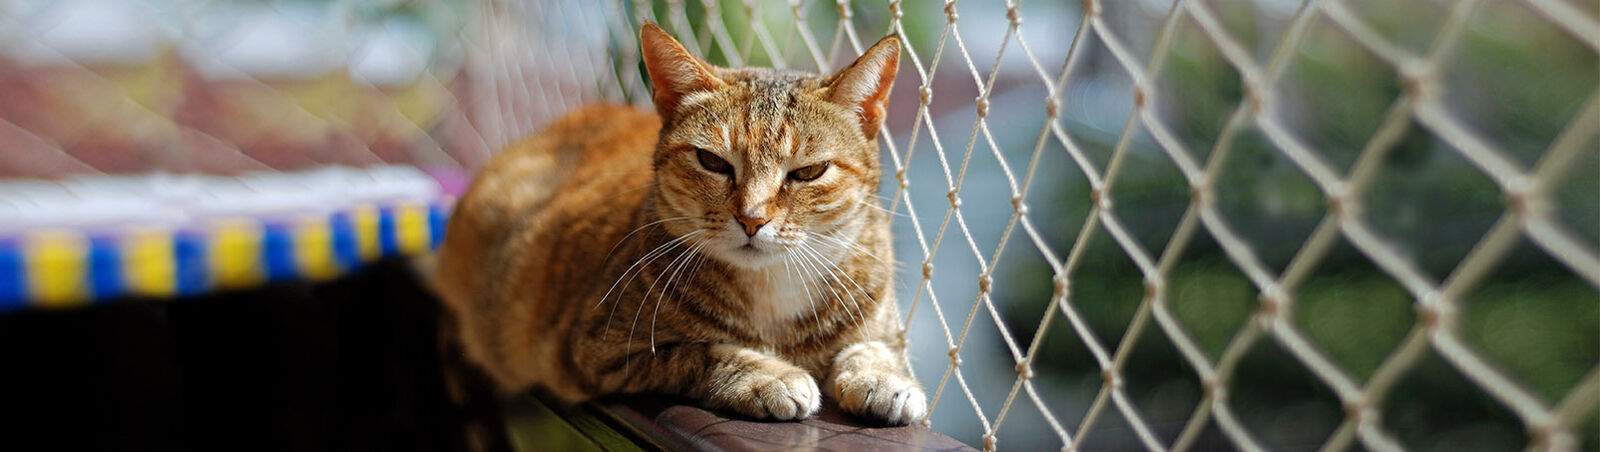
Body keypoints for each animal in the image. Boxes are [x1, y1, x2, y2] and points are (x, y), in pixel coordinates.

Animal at [432, 22, 928, 426]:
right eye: (713, 162)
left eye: (808, 172)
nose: (752, 219)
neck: (773, 292)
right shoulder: (596, 350)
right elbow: (702, 351)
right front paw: (766, 374)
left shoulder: (878, 318)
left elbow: (874, 347)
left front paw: (884, 378)